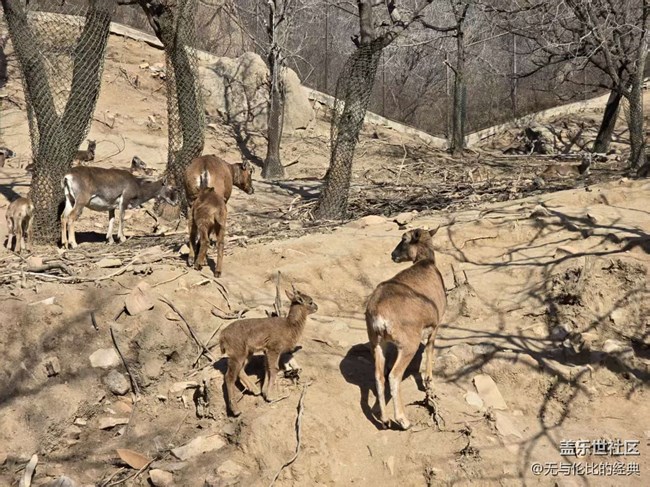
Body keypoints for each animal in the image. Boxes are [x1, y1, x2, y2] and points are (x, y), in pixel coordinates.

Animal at [219, 288, 318, 417]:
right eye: (310, 302)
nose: (317, 307)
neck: (289, 327)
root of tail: (222, 336)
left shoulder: (266, 350)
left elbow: (267, 368)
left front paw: (264, 392)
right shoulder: (274, 348)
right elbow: (274, 368)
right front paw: (271, 396)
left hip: (247, 352)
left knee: (240, 370)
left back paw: (254, 390)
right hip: (237, 351)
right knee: (229, 377)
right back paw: (235, 410)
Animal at [365, 227, 447, 431]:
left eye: (403, 239)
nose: (393, 255)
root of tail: (379, 314)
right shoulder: (435, 327)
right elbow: (430, 350)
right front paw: (429, 382)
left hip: (378, 344)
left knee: (379, 376)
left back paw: (385, 420)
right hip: (407, 346)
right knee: (394, 376)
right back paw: (403, 420)